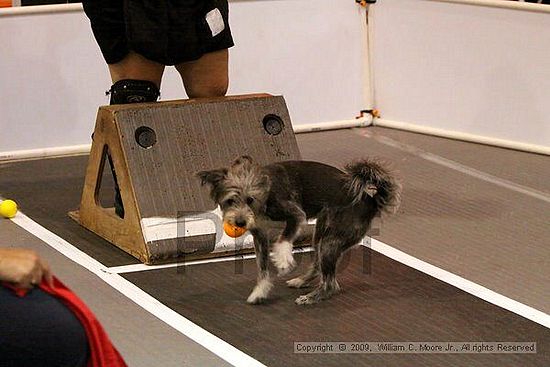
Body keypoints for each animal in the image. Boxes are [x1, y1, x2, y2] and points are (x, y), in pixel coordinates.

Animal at [198, 157, 402, 306]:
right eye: (230, 201)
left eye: (250, 200)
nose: (239, 222)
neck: (265, 192)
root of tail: (370, 201)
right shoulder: (260, 237)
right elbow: (262, 268)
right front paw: (260, 290)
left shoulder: (295, 215)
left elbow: (283, 240)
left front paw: (283, 260)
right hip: (321, 235)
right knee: (319, 266)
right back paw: (301, 281)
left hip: (331, 240)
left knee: (331, 284)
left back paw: (311, 297)